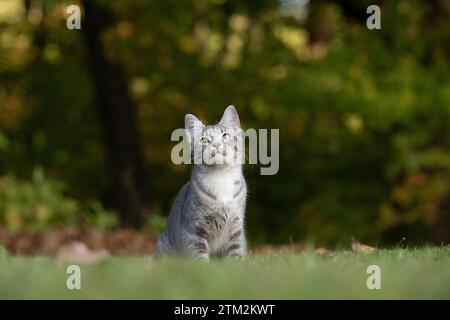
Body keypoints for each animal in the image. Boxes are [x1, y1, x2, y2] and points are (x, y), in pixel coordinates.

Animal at [154, 105, 246, 260]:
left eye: (225, 136)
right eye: (204, 140)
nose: (216, 145)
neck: (221, 176)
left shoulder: (236, 229)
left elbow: (236, 254)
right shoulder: (194, 230)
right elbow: (199, 257)